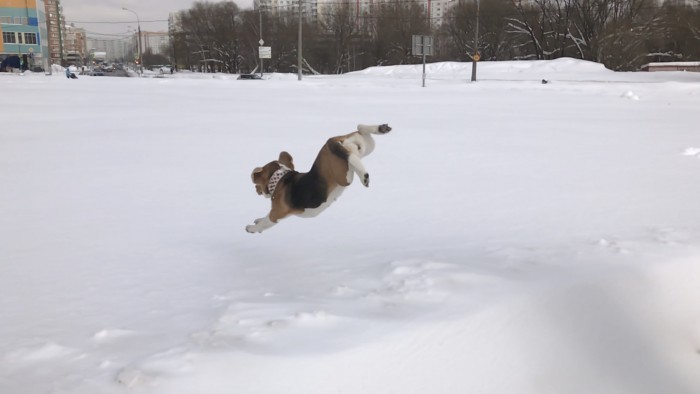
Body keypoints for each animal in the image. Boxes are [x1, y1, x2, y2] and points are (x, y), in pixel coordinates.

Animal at [246, 124, 392, 232]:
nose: (256, 190)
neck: (280, 178)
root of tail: (332, 141)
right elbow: (263, 218)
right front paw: (257, 220)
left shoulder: (276, 214)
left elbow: (265, 221)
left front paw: (252, 228)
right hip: (366, 145)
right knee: (361, 130)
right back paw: (381, 128)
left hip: (345, 177)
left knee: (350, 156)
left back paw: (364, 176)